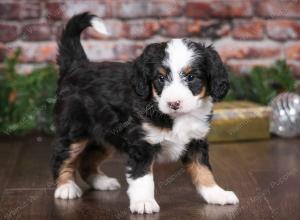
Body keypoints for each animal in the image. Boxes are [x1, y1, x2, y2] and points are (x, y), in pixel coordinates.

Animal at [51, 12, 239, 214]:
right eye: (161, 78)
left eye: (191, 77)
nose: (174, 103)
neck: (175, 117)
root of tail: (77, 65)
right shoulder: (142, 144)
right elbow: (143, 177)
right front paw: (143, 202)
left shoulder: (196, 141)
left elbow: (204, 170)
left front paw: (216, 194)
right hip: (74, 131)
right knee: (62, 158)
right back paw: (65, 187)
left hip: (106, 135)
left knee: (87, 161)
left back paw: (101, 182)